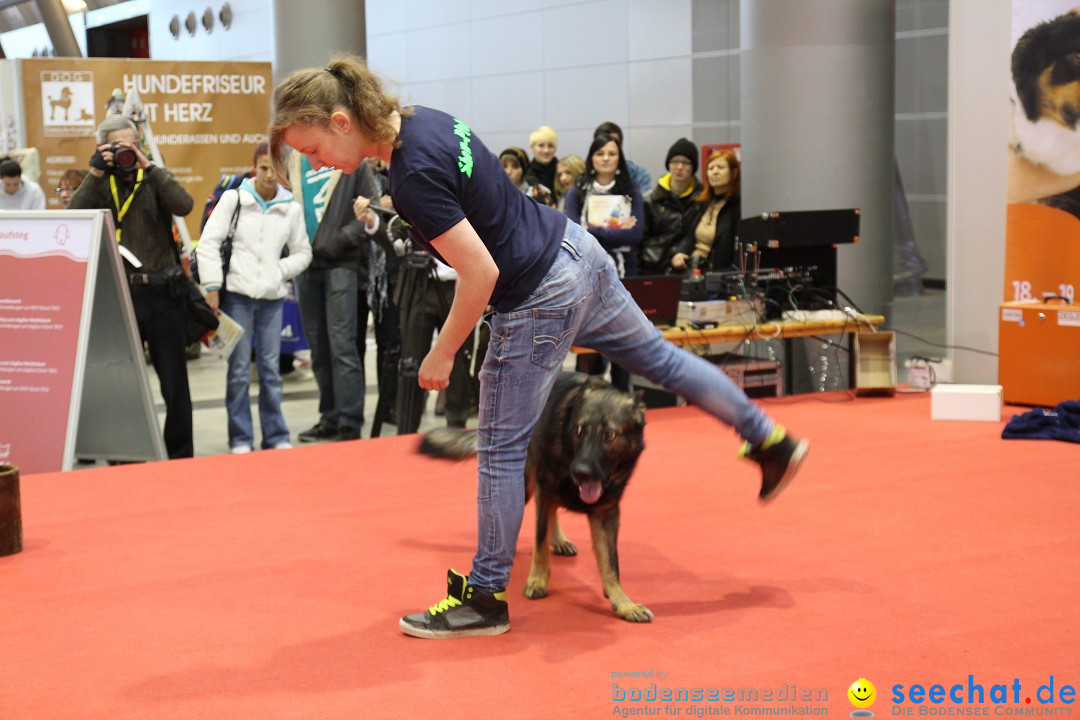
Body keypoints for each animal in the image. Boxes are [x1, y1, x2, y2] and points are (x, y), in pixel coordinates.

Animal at [419, 371, 648, 621]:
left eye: (610, 435)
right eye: (579, 431)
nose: (580, 472)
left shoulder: (606, 513)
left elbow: (611, 563)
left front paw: (623, 602)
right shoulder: (545, 490)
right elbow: (540, 542)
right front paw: (537, 580)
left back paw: (559, 539)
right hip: (524, 483)